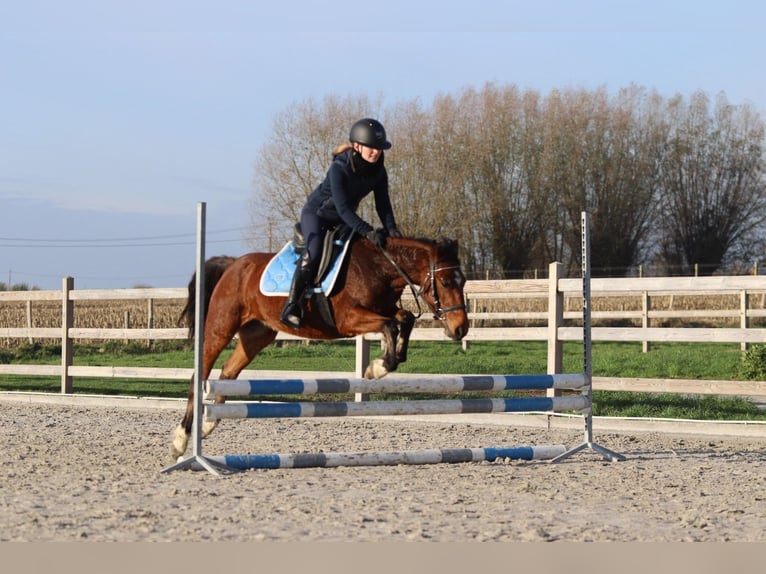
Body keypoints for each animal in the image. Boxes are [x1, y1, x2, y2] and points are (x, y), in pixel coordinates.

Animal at [170, 234, 470, 459]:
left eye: (463, 281)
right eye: (445, 282)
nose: (461, 329)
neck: (378, 268)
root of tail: (233, 264)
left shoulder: (383, 310)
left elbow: (404, 320)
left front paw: (386, 360)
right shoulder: (349, 319)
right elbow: (390, 326)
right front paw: (378, 367)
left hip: (257, 334)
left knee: (228, 372)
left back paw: (209, 424)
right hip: (221, 326)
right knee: (200, 375)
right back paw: (181, 441)